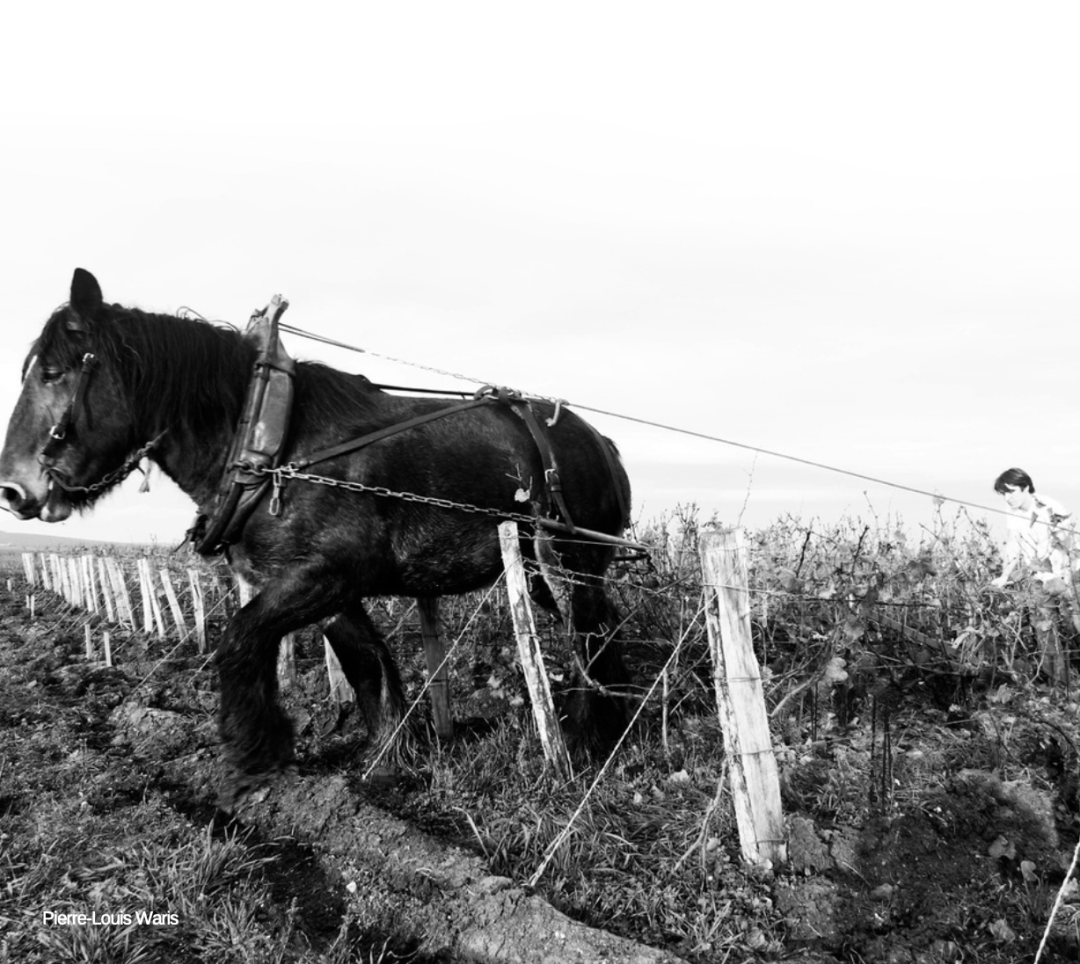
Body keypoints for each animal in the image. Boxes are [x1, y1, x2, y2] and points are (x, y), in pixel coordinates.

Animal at [0, 268, 630, 803]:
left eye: (53, 372)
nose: (12, 489)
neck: (270, 445)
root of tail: (600, 440)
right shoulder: (318, 588)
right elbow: (367, 665)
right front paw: (391, 761)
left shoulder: (328, 574)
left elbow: (239, 640)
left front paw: (254, 755)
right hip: (540, 570)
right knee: (600, 630)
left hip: (571, 561)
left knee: (589, 636)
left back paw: (583, 741)